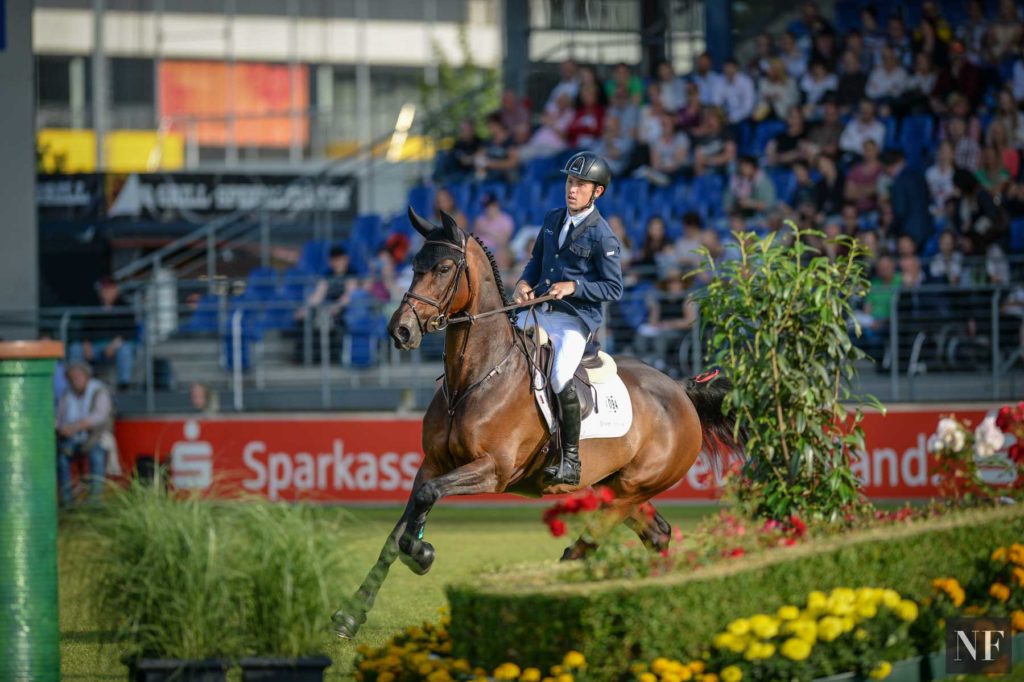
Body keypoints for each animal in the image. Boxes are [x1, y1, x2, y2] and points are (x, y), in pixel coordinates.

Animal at [331, 206, 741, 638]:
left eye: (443, 268)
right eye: (413, 266)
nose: (400, 330)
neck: (473, 379)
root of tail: (679, 390)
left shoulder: (493, 470)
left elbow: (426, 501)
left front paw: (423, 553)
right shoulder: (433, 464)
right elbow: (399, 531)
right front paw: (350, 615)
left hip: (629, 490)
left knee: (583, 548)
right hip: (614, 487)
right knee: (657, 535)